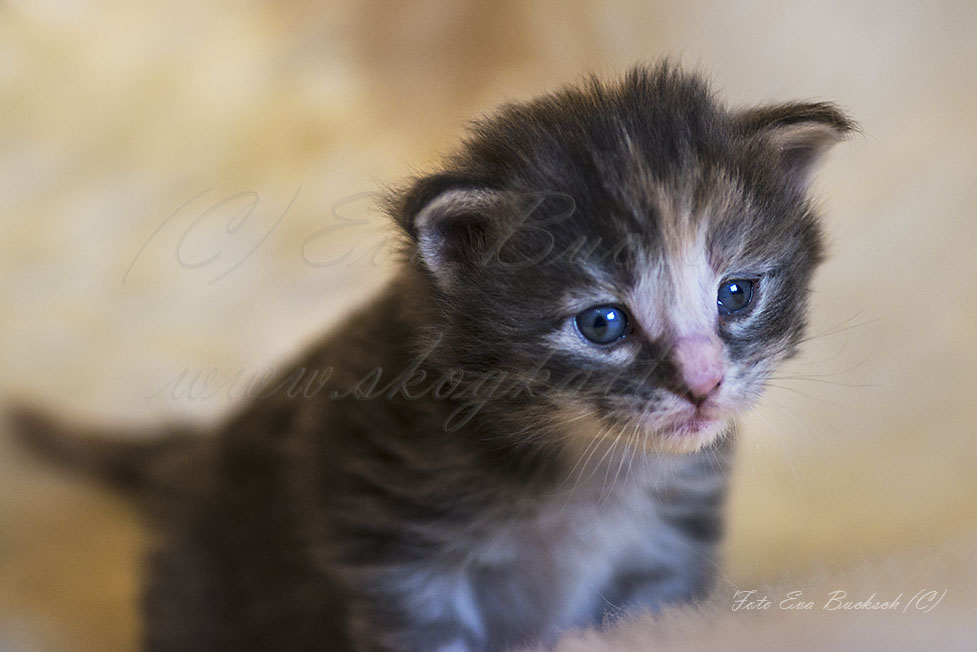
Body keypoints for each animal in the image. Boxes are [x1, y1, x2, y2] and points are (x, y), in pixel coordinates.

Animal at [15, 62, 856, 652]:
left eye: (736, 294)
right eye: (603, 323)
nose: (704, 385)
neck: (585, 471)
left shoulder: (664, 554)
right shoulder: (400, 551)